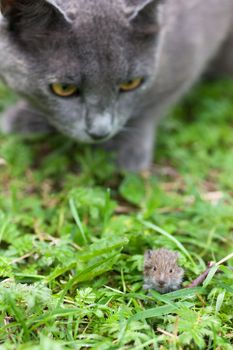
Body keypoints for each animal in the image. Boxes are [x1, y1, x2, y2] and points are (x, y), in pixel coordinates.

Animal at [0, 0, 233, 170]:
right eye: (64, 89)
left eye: (131, 83)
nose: (100, 132)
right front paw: (25, 118)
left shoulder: (187, 59)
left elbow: (155, 104)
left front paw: (126, 153)